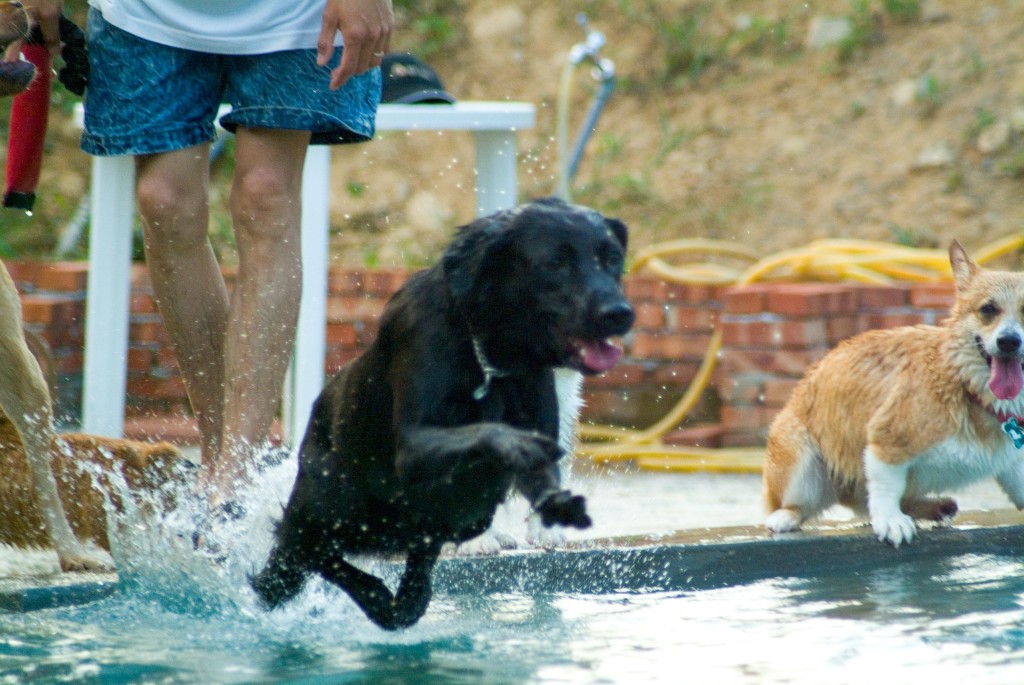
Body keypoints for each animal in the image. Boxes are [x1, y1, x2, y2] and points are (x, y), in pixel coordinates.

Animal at [248, 194, 630, 626]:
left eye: (612, 259)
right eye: (553, 263)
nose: (616, 313)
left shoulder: (553, 421)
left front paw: (545, 527)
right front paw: (482, 542)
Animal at [765, 240, 1024, 544]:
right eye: (988, 309)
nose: (1009, 341)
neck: (966, 386)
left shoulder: (1014, 464)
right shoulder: (886, 441)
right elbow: (885, 486)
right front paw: (890, 521)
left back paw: (934, 506)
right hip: (799, 457)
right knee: (799, 505)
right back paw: (784, 517)